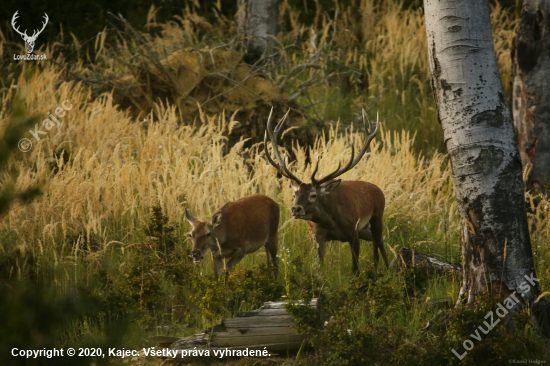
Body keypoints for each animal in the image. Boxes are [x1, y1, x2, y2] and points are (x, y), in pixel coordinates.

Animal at [266, 107, 390, 274]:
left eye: (313, 195)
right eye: (294, 194)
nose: (295, 209)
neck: (331, 221)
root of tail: (377, 189)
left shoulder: (354, 231)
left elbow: (355, 268)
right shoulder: (318, 235)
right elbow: (320, 266)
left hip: (377, 215)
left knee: (377, 245)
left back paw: (384, 270)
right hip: (364, 228)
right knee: (380, 239)